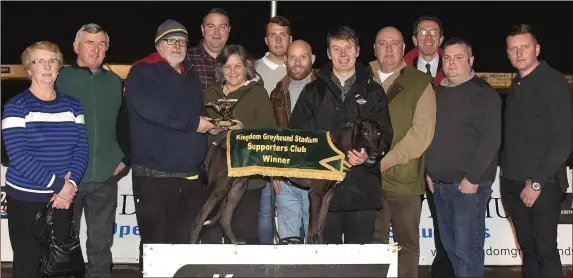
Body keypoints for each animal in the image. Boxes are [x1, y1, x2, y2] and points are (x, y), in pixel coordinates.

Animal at [190, 118, 382, 244]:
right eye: (365, 132)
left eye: (379, 133)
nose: (376, 154)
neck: (339, 145)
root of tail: (219, 141)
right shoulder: (316, 195)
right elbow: (312, 232)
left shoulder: (328, 196)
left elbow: (319, 230)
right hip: (221, 188)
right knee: (198, 219)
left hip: (238, 187)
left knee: (225, 220)